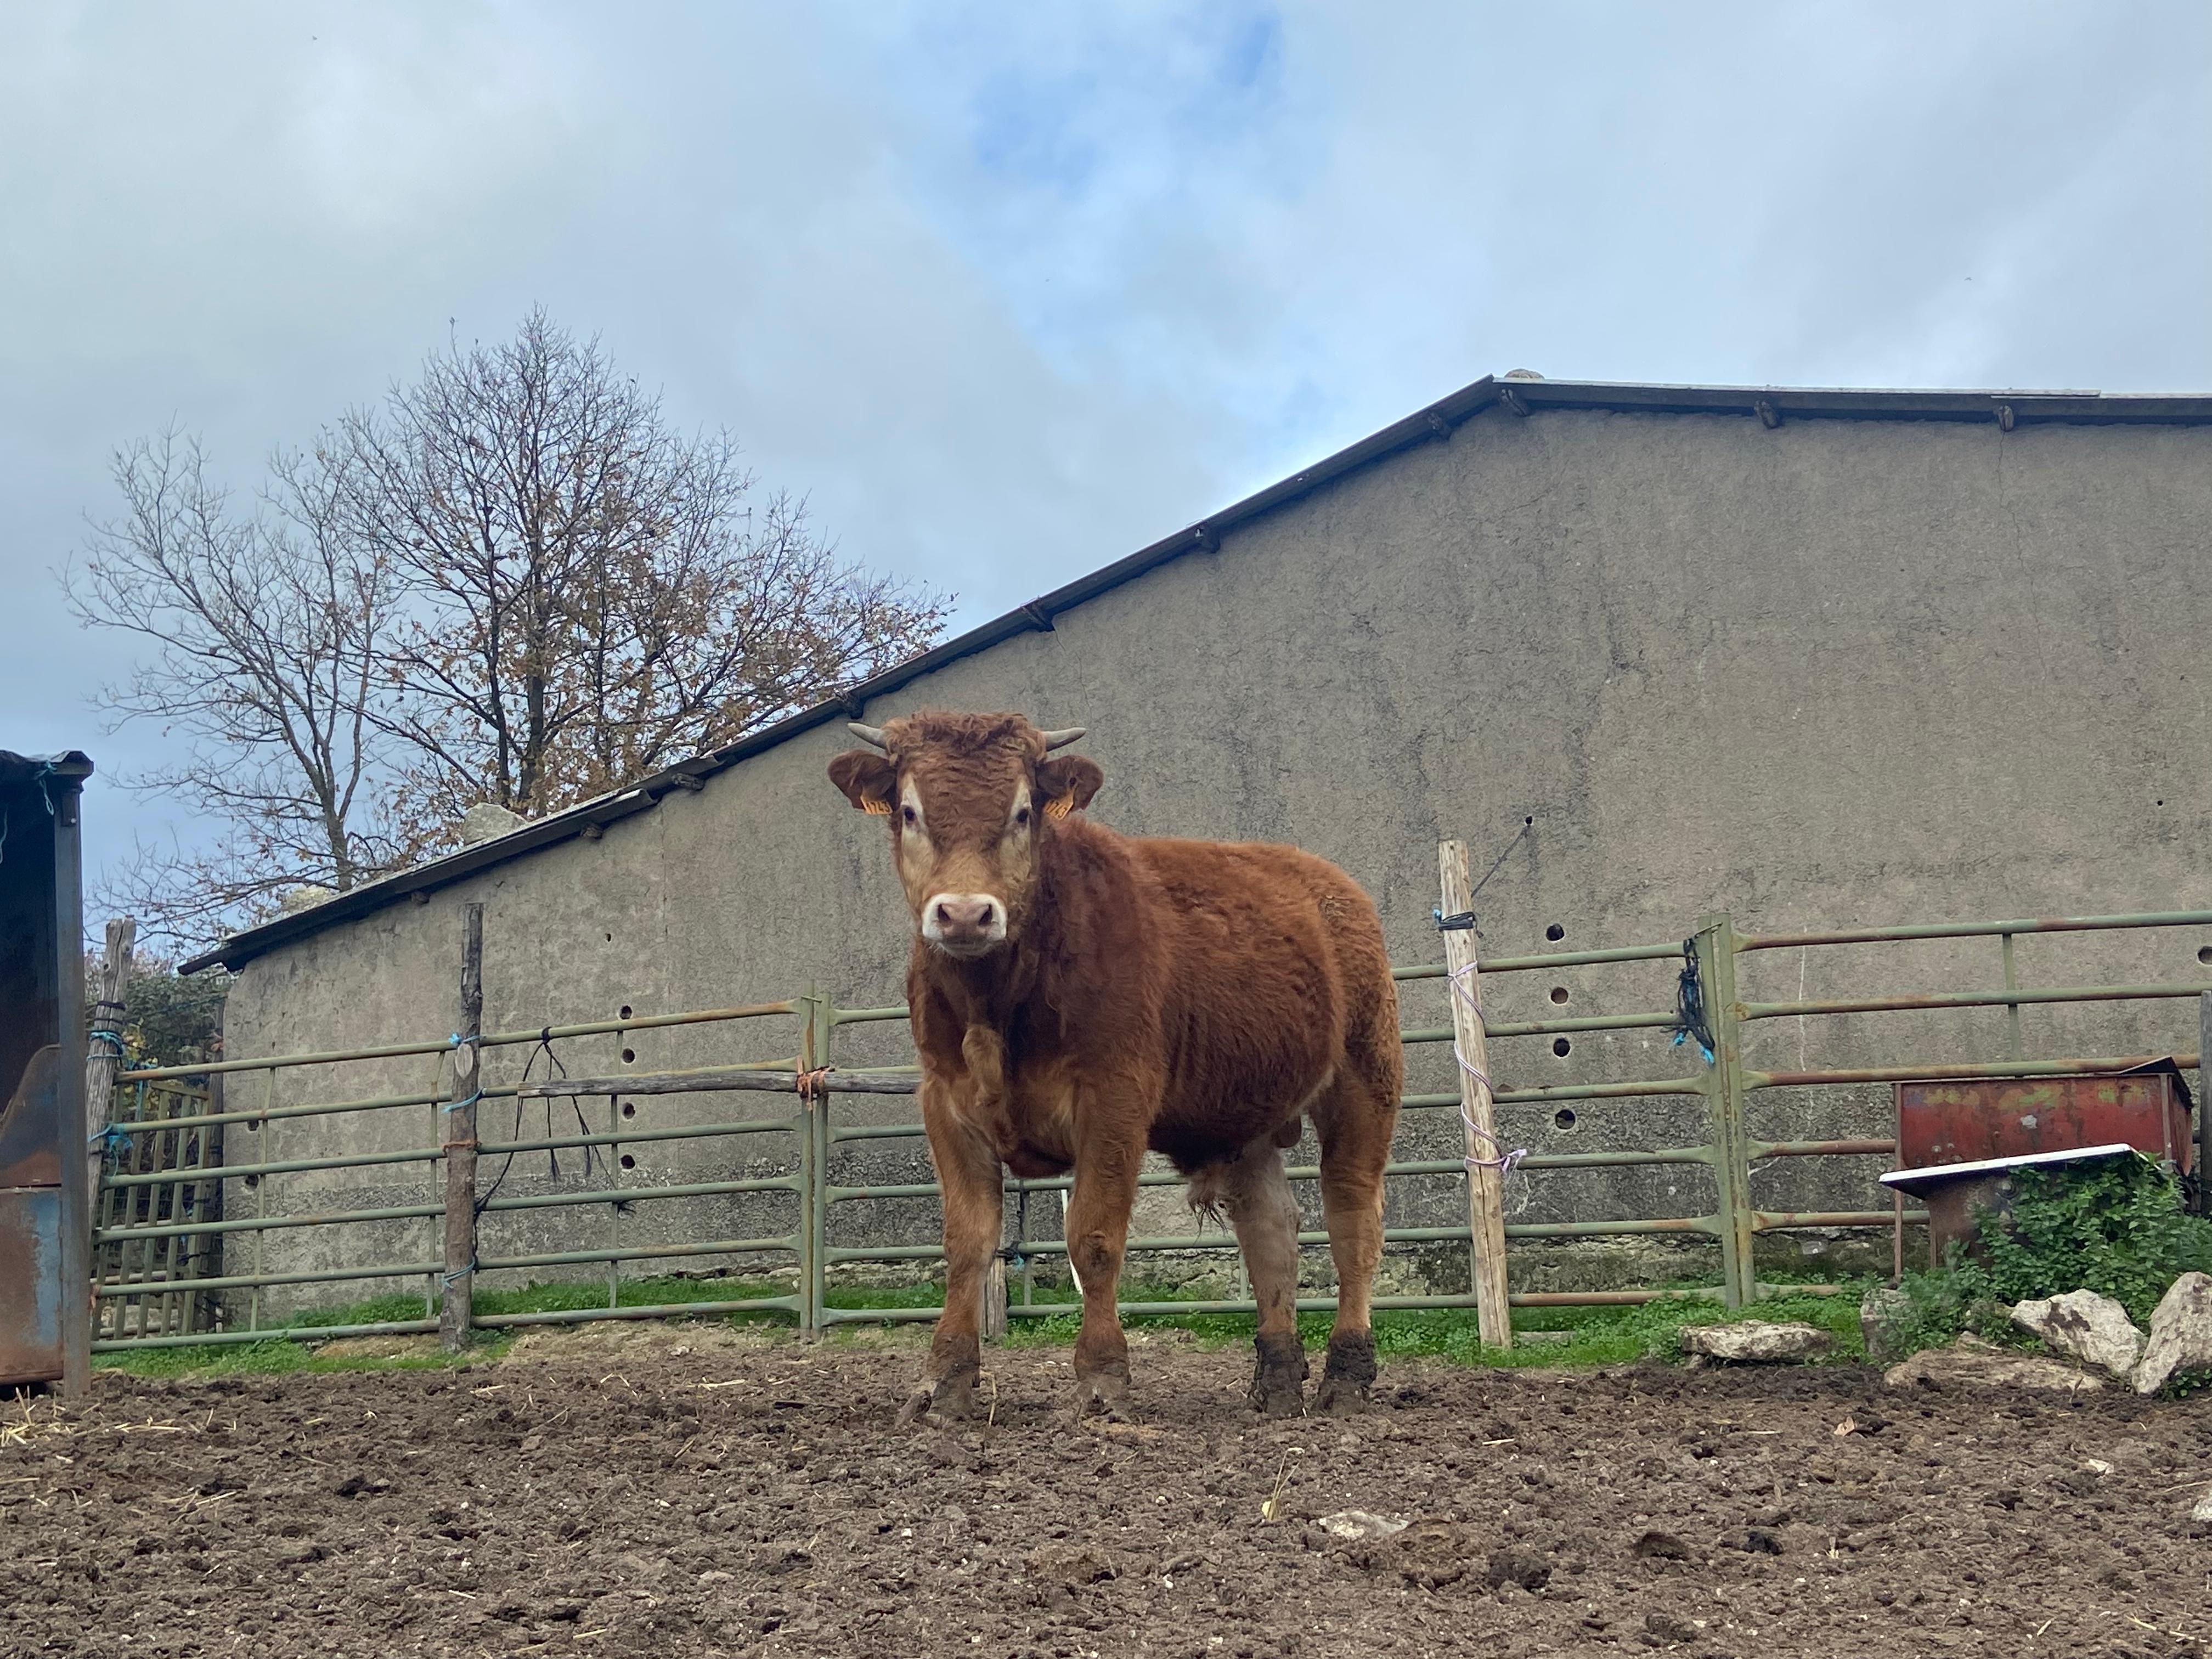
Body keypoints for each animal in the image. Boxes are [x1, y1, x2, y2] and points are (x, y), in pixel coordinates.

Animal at [832, 708, 1398, 1424]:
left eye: (1023, 811)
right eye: (910, 811)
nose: (964, 913)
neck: (999, 1001)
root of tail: (1326, 881)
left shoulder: (1114, 1098)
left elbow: (1094, 1239)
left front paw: (1102, 1381)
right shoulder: (946, 1102)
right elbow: (967, 1244)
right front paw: (944, 1384)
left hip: (1365, 1079)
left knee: (1353, 1222)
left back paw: (1346, 1376)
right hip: (1245, 1115)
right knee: (1271, 1229)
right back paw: (1275, 1382)